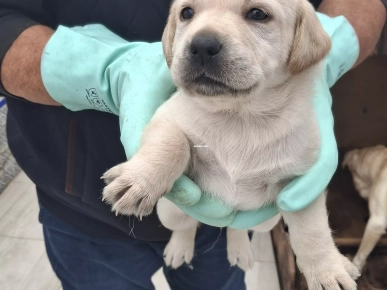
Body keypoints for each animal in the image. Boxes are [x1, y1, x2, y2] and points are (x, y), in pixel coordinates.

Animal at [104, 1, 360, 288]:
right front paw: (141, 179)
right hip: (169, 212)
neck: (239, 115)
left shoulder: (301, 184)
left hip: (266, 221)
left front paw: (326, 270)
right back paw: (179, 248)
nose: (202, 45)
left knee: (237, 227)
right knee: (186, 225)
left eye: (258, 14)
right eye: (186, 13)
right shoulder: (167, 117)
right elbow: (173, 143)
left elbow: (312, 229)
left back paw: (240, 249)